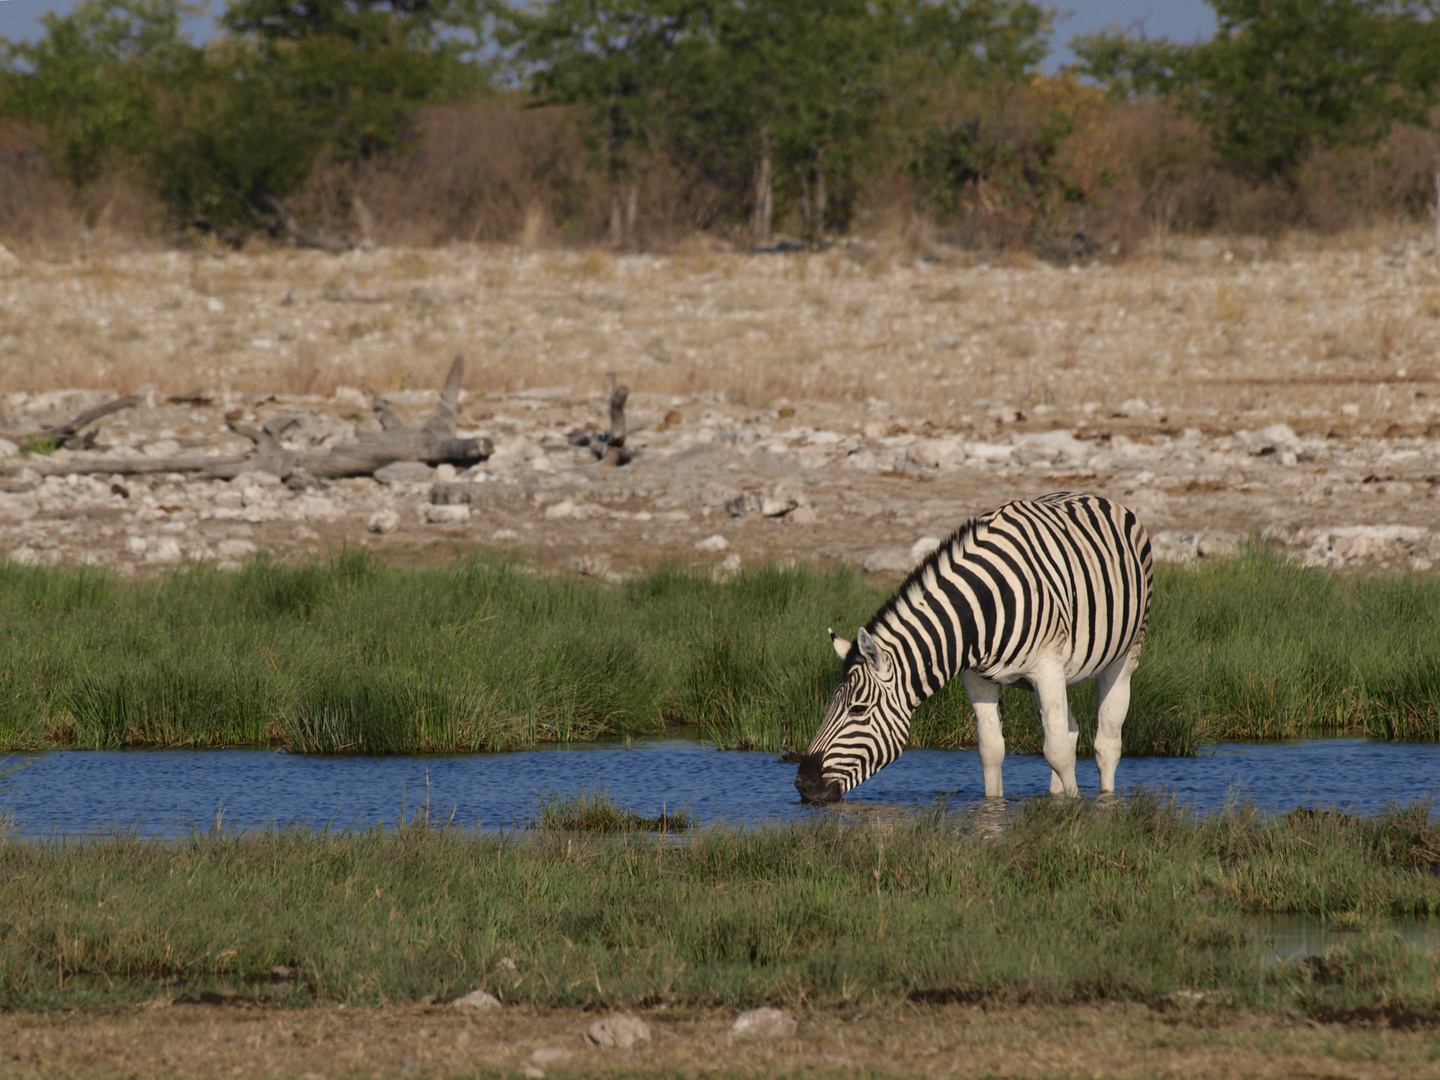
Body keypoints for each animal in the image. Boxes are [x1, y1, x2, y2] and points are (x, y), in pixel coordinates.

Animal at [794, 495, 1152, 806]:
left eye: (858, 710)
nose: (802, 784)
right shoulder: (976, 677)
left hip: (1123, 655)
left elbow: (1057, 751)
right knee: (1071, 729)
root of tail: (1103, 499)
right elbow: (991, 751)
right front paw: (993, 810)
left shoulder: (1046, 667)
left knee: (1106, 743)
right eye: (831, 704)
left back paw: (1105, 801)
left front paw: (1075, 812)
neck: (981, 607)